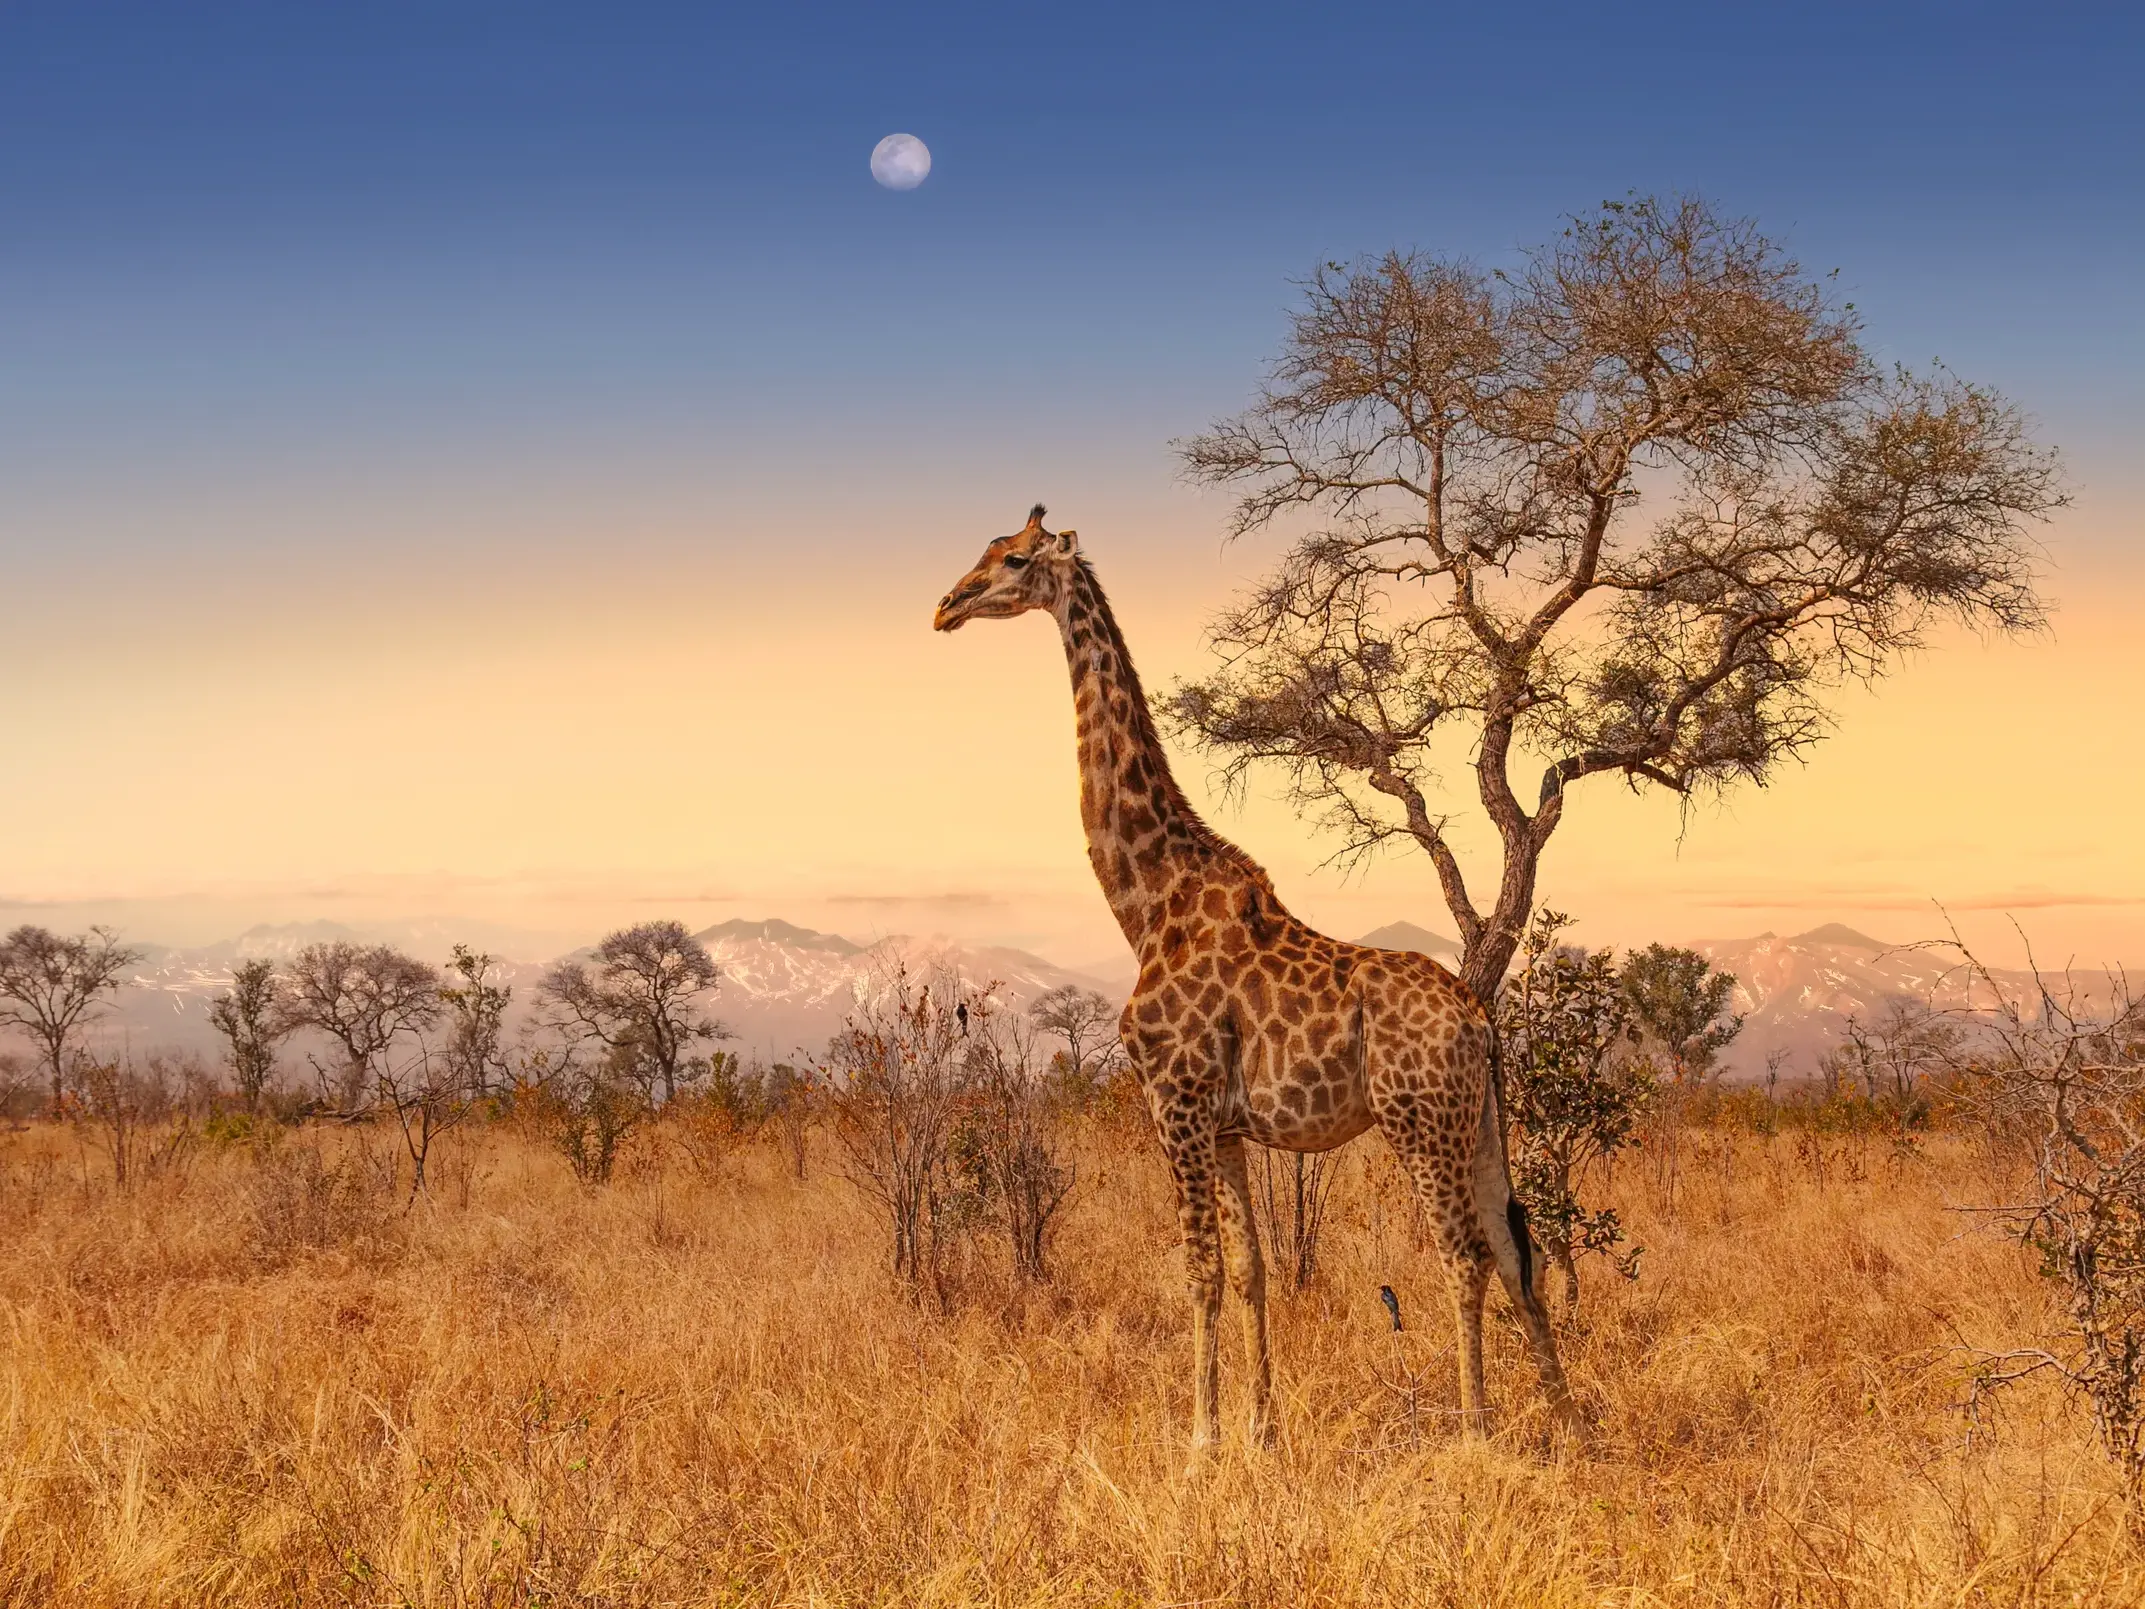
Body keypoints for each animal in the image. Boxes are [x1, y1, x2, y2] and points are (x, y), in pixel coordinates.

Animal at [934, 506, 1583, 1452]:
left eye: (1013, 561)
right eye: (983, 553)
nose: (945, 606)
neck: (1146, 900)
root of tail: (1479, 1020)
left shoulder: (1174, 1100)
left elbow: (1199, 1271)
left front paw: (1199, 1437)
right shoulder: (1228, 1125)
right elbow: (1250, 1269)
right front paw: (1258, 1430)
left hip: (1417, 1119)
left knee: (1461, 1253)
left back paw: (1475, 1429)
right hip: (1481, 1122)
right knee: (1512, 1247)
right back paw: (1572, 1420)